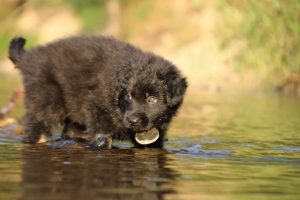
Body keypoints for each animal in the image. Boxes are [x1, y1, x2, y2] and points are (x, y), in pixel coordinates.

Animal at [8, 35, 188, 148]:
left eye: (152, 99)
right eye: (128, 96)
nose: (132, 120)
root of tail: (29, 58)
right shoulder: (97, 110)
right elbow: (103, 138)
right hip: (45, 103)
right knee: (37, 130)